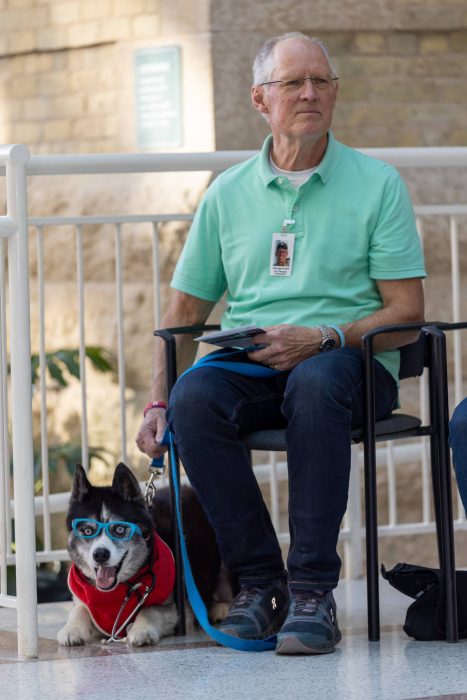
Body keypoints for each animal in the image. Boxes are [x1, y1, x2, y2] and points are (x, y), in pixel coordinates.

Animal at [58, 462, 234, 648]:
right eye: (87, 530)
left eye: (119, 529)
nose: (100, 554)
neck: (116, 590)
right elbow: (79, 609)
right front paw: (72, 629)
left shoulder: (180, 612)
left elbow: (151, 609)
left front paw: (141, 630)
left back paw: (221, 609)